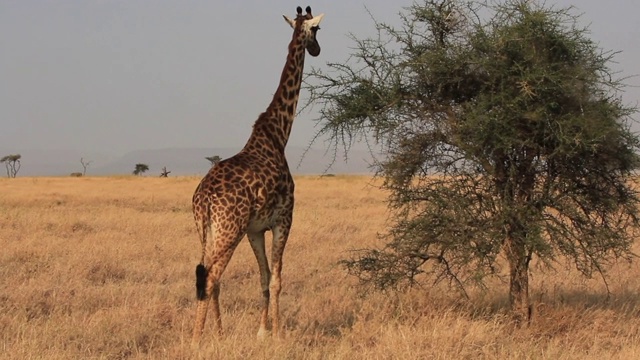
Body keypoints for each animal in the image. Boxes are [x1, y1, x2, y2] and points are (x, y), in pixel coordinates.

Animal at [188, 4, 322, 344]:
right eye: (316, 30)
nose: (316, 49)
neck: (277, 134)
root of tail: (203, 199)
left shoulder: (255, 229)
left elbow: (263, 277)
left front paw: (262, 331)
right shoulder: (284, 218)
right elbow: (276, 279)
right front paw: (279, 335)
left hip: (207, 230)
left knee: (207, 275)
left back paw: (219, 334)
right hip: (228, 229)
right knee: (210, 277)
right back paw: (197, 340)